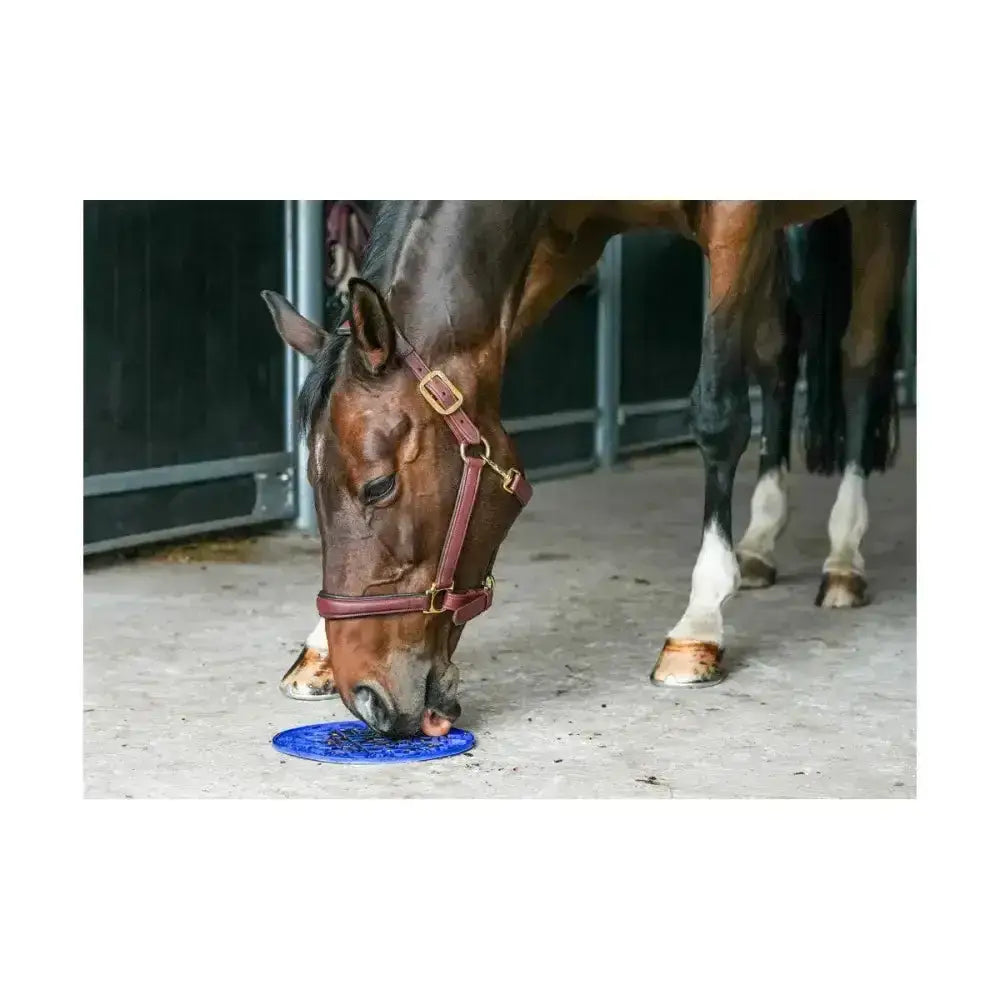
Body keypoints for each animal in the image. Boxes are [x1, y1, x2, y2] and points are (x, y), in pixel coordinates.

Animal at [261, 200, 913, 738]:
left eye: (380, 486)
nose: (368, 699)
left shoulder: (737, 219)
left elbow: (717, 414)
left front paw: (700, 621)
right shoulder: (565, 242)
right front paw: (318, 651)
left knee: (859, 363)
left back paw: (844, 557)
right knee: (779, 359)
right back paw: (758, 545)